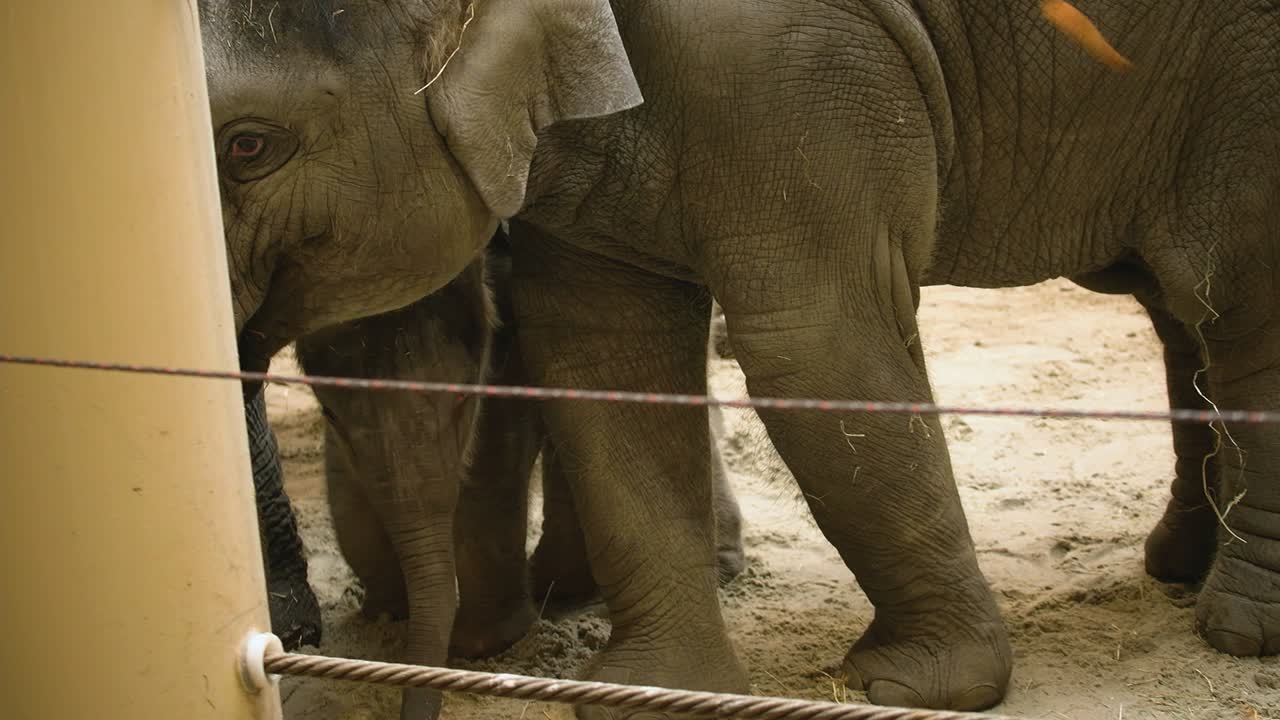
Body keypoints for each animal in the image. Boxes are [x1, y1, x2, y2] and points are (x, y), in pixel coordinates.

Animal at [198, 0, 1280, 718]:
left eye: (249, 146)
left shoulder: (786, 65)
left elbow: (813, 349)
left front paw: (908, 685)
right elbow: (602, 350)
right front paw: (650, 695)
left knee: (1238, 305)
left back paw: (1238, 628)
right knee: (1181, 314)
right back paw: (1180, 567)